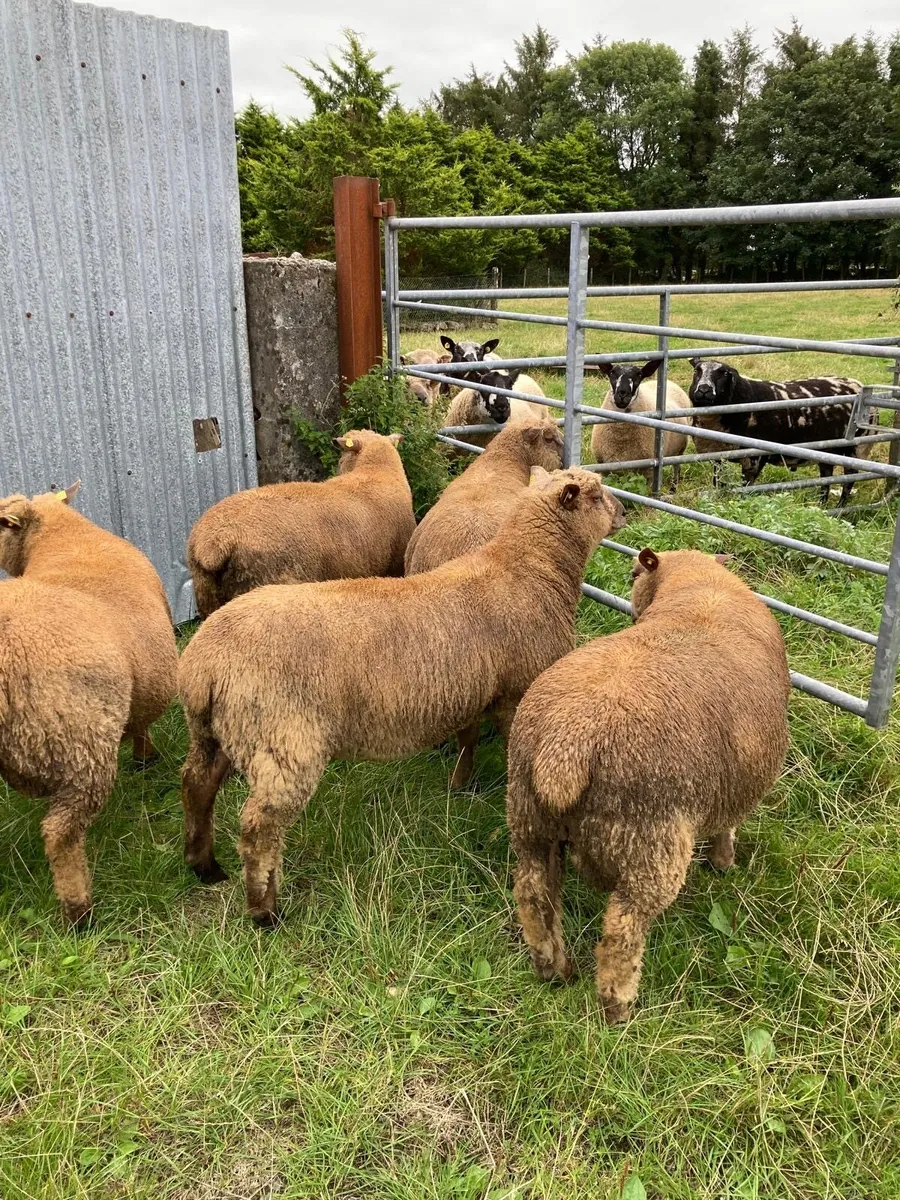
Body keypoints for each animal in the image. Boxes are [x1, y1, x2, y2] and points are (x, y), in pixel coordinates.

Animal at [0, 483, 178, 926]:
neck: (66, 539)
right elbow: (142, 722)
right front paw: (146, 757)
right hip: (81, 745)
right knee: (61, 833)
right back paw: (80, 912)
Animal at [178, 467, 626, 924]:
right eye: (595, 495)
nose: (625, 512)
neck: (528, 571)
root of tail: (203, 663)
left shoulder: (471, 691)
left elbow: (466, 738)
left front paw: (459, 786)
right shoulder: (515, 694)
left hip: (220, 731)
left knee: (196, 784)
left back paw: (204, 865)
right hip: (283, 741)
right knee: (258, 828)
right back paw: (265, 911)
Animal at [506, 547, 790, 1023]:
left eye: (633, 573)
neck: (697, 585)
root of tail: (569, 744)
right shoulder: (735, 788)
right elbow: (728, 825)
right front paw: (724, 862)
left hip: (528, 815)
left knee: (533, 894)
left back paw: (553, 968)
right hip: (650, 839)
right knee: (623, 926)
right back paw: (616, 1005)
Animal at [590, 361, 693, 490]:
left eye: (639, 374)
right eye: (612, 372)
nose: (622, 393)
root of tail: (671, 382)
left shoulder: (648, 471)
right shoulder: (605, 469)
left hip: (680, 449)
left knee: (676, 466)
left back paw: (673, 487)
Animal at [688, 358, 870, 503]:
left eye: (724, 373)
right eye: (697, 370)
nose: (704, 389)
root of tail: (857, 383)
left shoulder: (755, 457)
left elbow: (746, 488)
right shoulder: (717, 455)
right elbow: (718, 483)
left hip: (857, 448)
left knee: (849, 480)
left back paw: (839, 510)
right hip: (828, 450)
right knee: (826, 478)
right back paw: (822, 507)